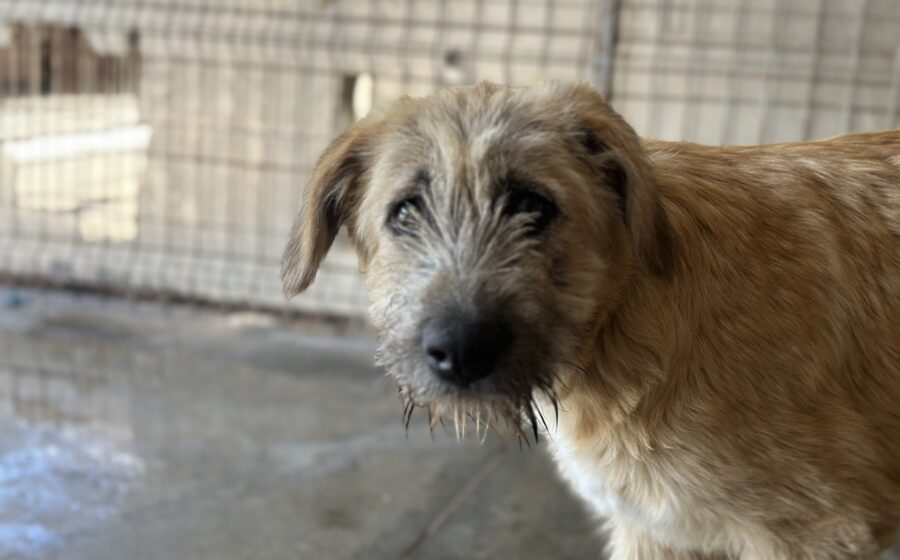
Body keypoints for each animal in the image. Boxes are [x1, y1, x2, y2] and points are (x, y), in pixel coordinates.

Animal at [282, 81, 900, 559]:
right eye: (405, 211)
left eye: (532, 205)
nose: (462, 350)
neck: (622, 318)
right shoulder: (657, 532)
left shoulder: (817, 531)